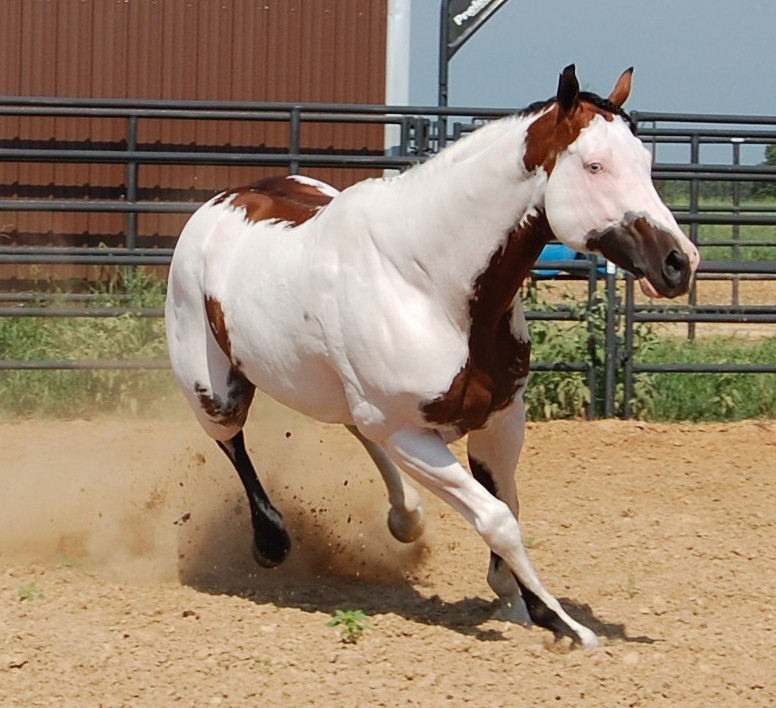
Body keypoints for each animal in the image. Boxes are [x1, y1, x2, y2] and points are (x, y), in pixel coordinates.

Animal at [165, 65, 699, 648]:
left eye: (645, 161)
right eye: (595, 165)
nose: (680, 262)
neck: (427, 280)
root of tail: (223, 202)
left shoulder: (500, 418)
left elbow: (508, 505)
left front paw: (512, 598)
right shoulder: (410, 435)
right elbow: (497, 518)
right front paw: (561, 622)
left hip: (341, 396)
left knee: (357, 431)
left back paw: (406, 518)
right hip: (215, 392)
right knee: (233, 443)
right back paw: (272, 539)